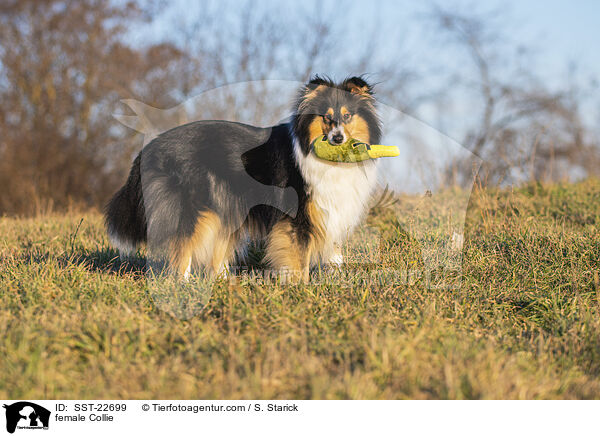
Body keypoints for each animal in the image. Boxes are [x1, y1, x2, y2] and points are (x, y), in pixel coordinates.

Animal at [104, 75, 380, 282]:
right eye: (326, 117)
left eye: (348, 116)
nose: (337, 138)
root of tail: (150, 147)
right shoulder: (297, 216)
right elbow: (298, 257)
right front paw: (300, 288)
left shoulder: (333, 209)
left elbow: (335, 253)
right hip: (194, 207)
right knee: (182, 248)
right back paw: (184, 285)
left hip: (224, 204)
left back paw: (224, 281)